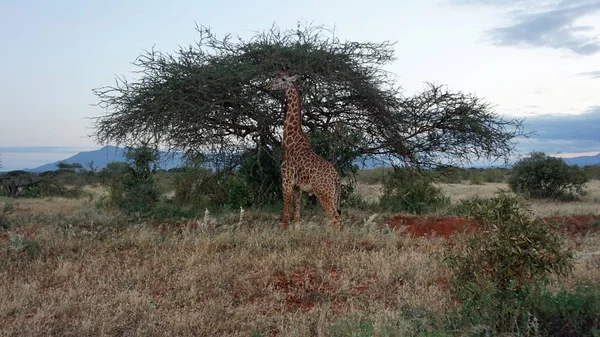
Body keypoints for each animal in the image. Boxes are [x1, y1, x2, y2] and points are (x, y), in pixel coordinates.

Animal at [268, 69, 342, 230]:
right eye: (274, 76)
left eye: (283, 79)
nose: (268, 85)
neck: (290, 144)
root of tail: (337, 178)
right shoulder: (298, 187)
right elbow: (296, 217)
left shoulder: (286, 181)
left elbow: (285, 216)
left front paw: (283, 234)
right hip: (333, 195)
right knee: (338, 218)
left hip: (323, 193)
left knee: (334, 218)